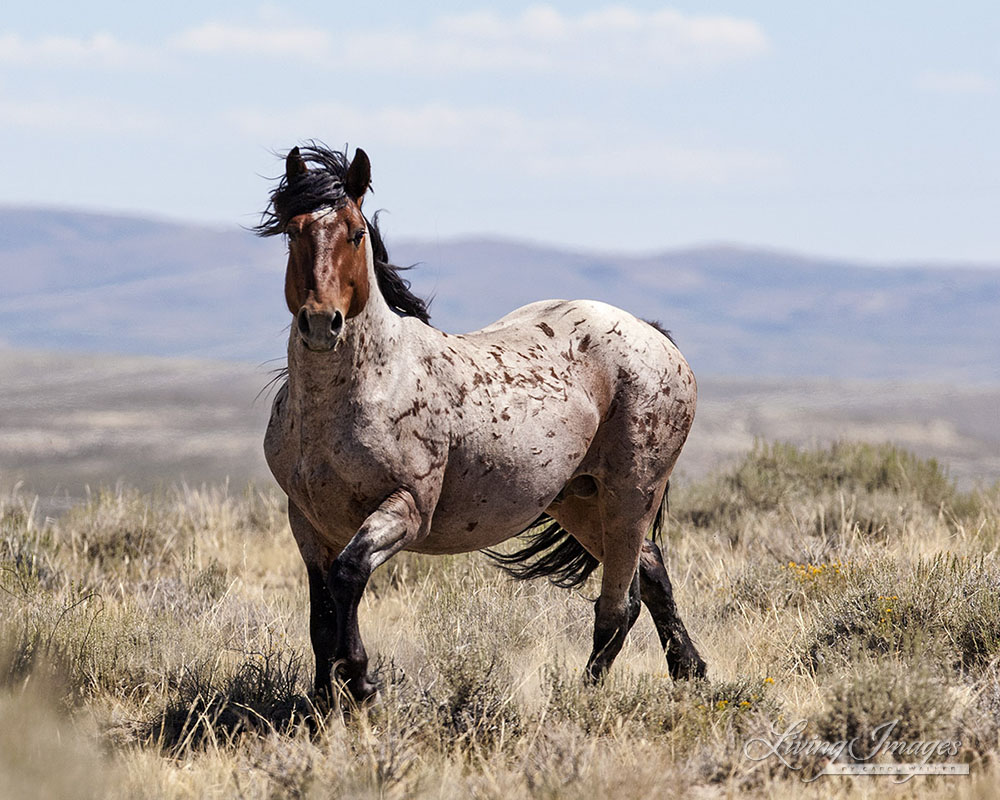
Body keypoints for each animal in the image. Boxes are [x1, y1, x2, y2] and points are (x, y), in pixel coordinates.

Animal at [262, 144, 708, 708]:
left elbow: (349, 576)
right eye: (293, 231)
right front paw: (325, 702)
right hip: (578, 499)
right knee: (650, 573)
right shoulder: (307, 524)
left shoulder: (406, 510)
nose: (322, 324)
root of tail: (654, 335)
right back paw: (690, 671)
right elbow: (321, 620)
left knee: (617, 606)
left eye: (355, 233)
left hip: (632, 492)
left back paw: (580, 700)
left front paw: (362, 682)